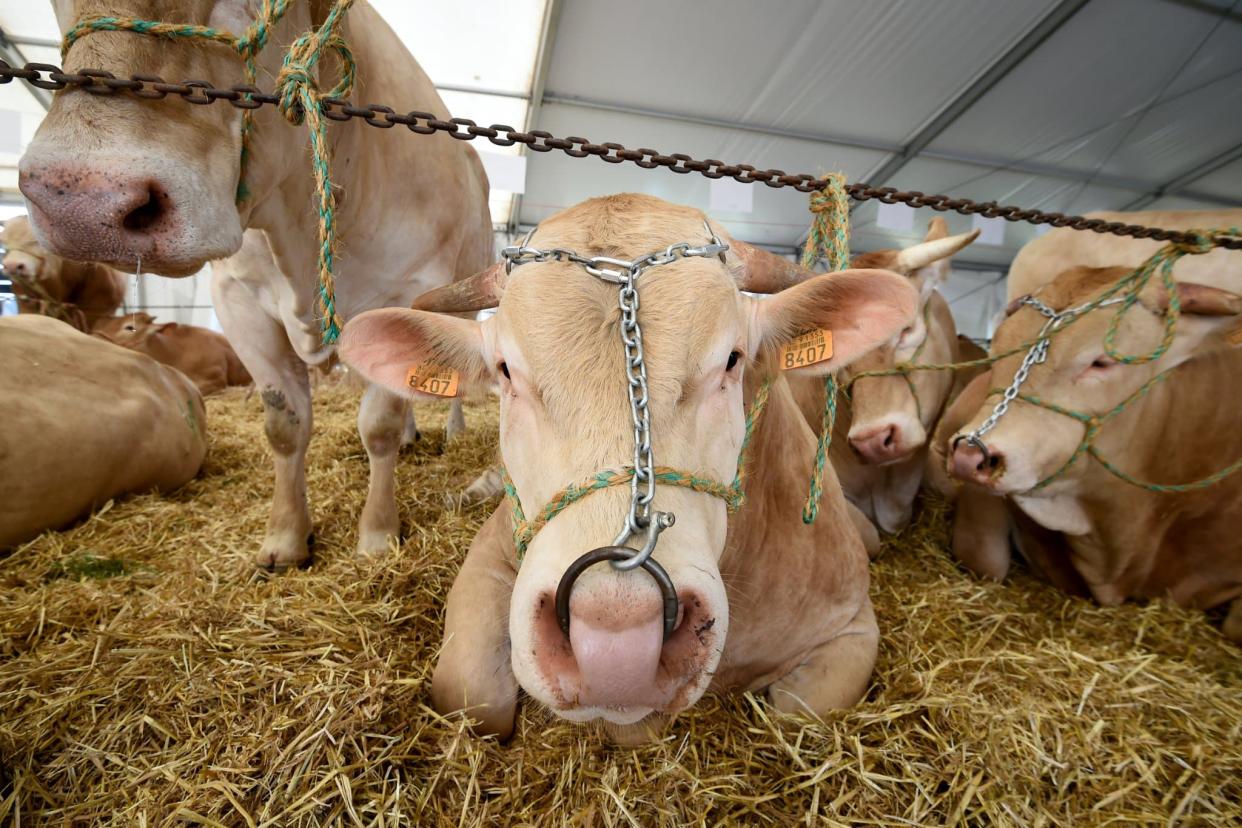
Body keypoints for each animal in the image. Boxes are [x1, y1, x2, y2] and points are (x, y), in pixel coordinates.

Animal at [335, 196, 919, 744]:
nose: (616, 646)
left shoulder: (850, 623)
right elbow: (471, 696)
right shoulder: (489, 561)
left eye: (733, 359)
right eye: (505, 371)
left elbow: (800, 712)